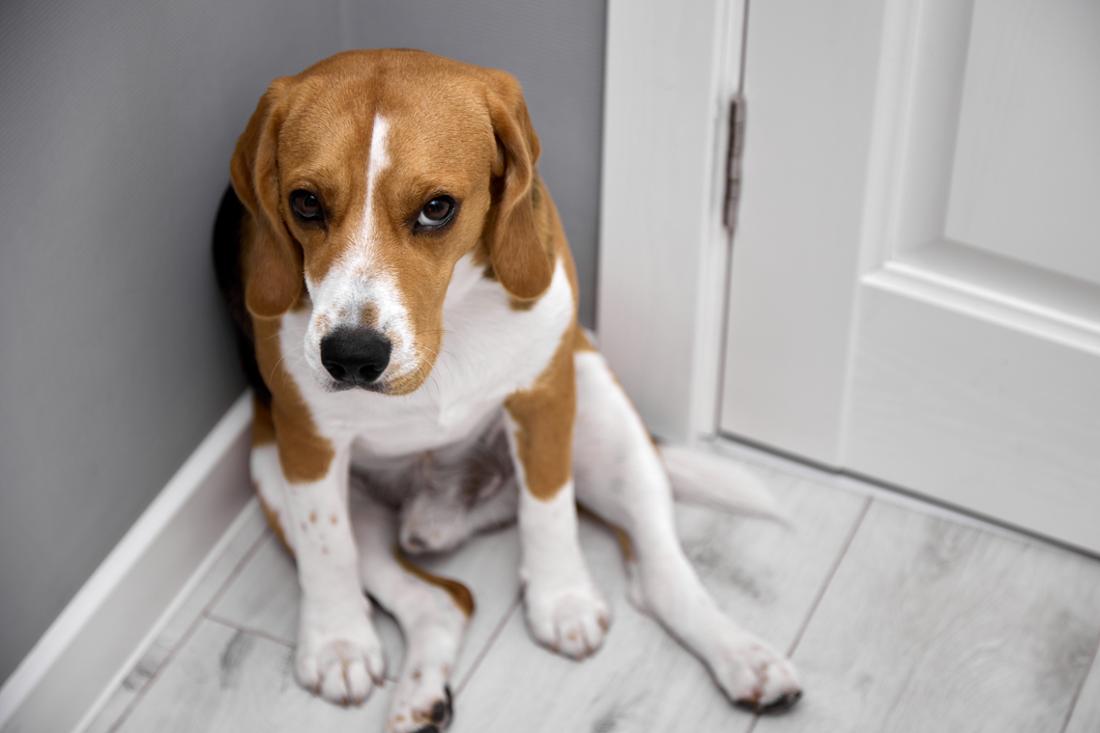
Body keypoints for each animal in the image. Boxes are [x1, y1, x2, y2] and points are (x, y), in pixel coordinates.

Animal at [212, 48, 800, 726]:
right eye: (305, 202)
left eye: (437, 207)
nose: (351, 358)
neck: (452, 322)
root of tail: (449, 512)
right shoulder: (307, 444)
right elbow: (326, 549)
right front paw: (336, 644)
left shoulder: (545, 397)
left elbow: (548, 509)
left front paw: (562, 599)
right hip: (268, 465)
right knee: (440, 601)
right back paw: (417, 697)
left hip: (603, 412)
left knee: (660, 574)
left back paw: (744, 658)